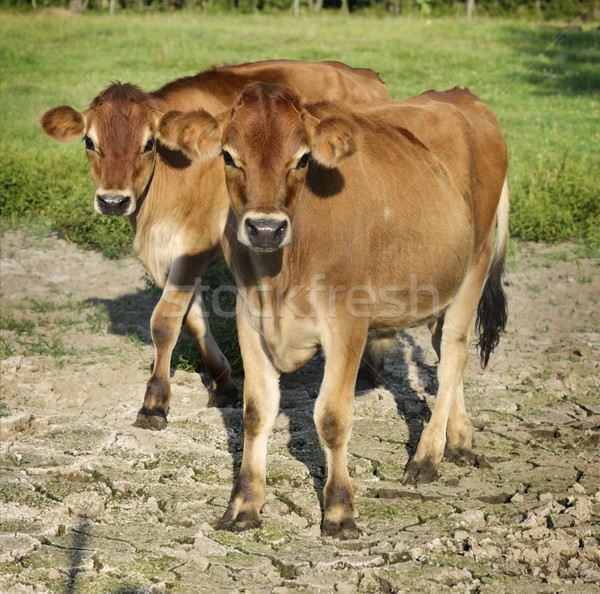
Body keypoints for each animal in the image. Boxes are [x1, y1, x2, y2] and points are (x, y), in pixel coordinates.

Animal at [42, 62, 390, 428]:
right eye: (89, 141)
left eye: (148, 143)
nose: (112, 201)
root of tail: (363, 73)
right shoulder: (168, 257)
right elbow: (193, 321)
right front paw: (223, 383)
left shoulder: (191, 246)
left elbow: (164, 322)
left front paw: (154, 403)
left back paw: (371, 365)